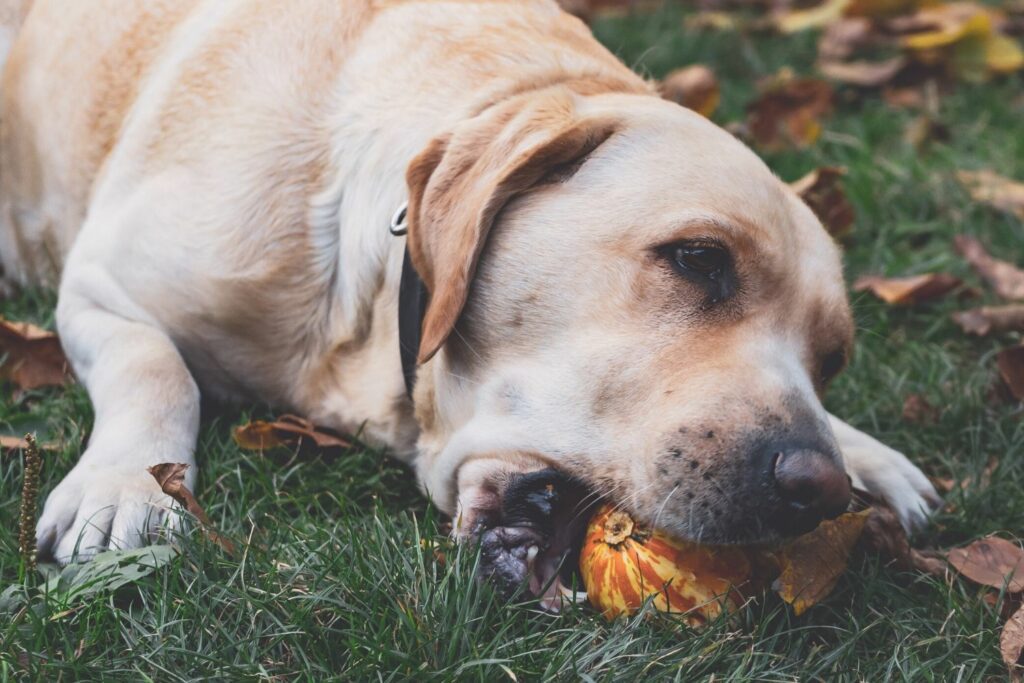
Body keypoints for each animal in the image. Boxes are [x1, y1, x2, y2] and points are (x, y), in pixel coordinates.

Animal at [0, 0, 937, 602]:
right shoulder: (100, 285)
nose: (818, 487)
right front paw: (128, 484)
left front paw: (867, 453)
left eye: (832, 358)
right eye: (700, 259)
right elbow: (154, 364)